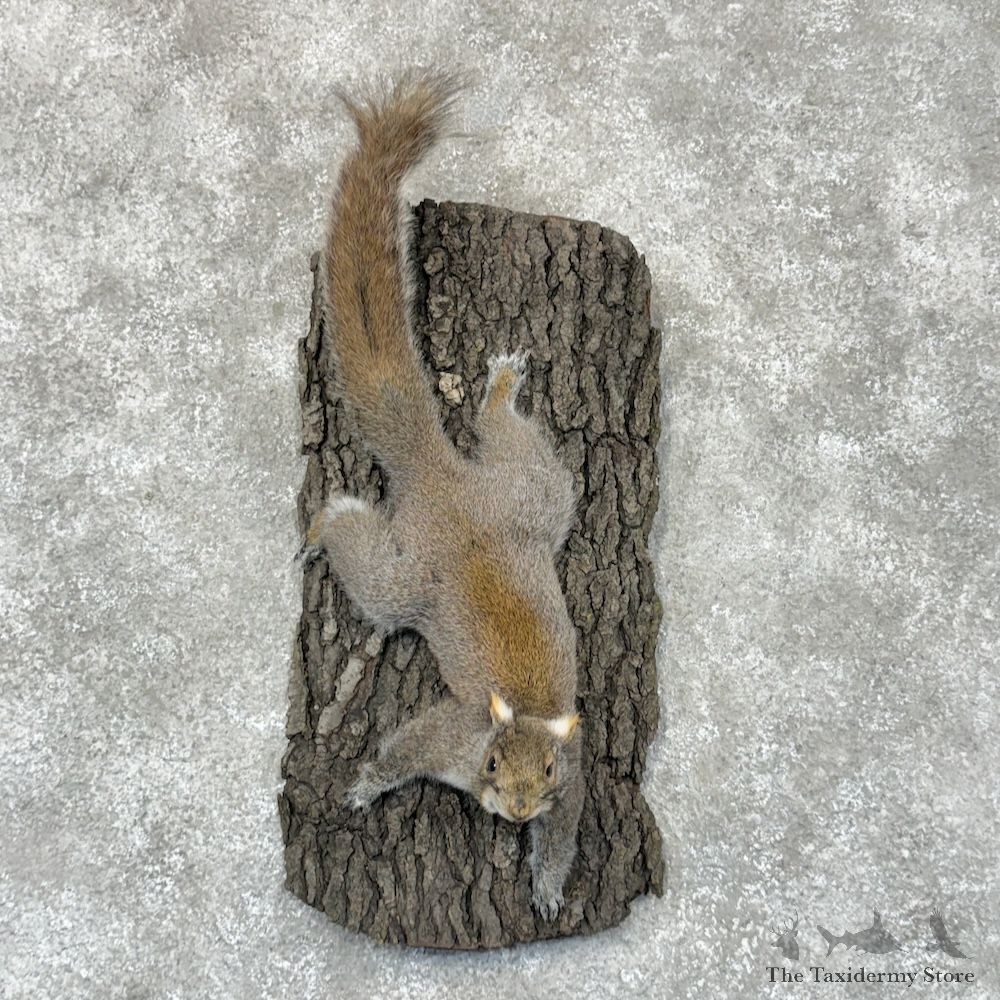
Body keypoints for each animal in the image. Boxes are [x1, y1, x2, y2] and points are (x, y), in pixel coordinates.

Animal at [301, 70, 583, 921]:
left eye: (546, 773)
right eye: (491, 765)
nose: (517, 811)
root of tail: (445, 484)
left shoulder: (576, 785)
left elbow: (567, 835)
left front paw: (549, 886)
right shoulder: (449, 736)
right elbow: (403, 750)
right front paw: (366, 785)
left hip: (530, 499)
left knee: (508, 439)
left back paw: (500, 390)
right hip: (414, 573)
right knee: (372, 572)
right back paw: (331, 519)